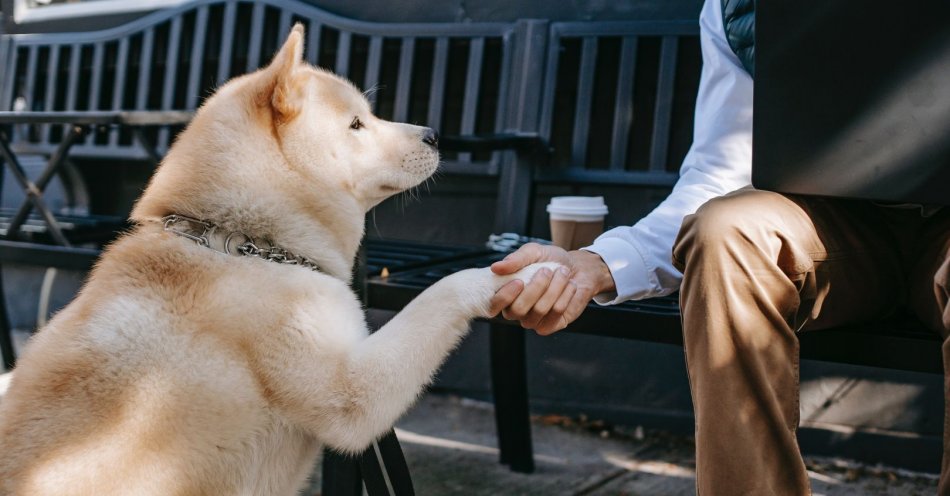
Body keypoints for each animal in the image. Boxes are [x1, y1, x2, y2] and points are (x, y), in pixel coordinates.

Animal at [0, 25, 556, 494]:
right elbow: (443, 291)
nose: (435, 134)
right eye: (357, 123)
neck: (246, 247)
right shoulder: (352, 395)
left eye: (368, 115)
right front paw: (531, 270)